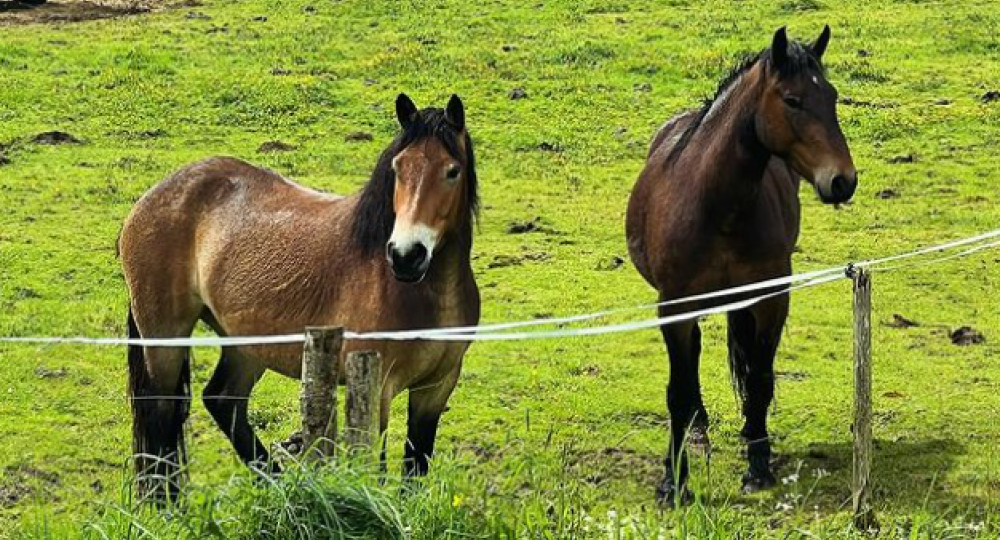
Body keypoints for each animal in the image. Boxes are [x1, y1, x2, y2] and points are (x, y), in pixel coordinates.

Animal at [121, 94, 480, 502]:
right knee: (160, 413)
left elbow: (414, 471)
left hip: (246, 344)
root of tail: (153, 197)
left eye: (452, 171)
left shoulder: (436, 388)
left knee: (223, 402)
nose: (406, 255)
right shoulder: (378, 389)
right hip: (164, 340)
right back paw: (166, 505)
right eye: (398, 168)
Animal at [628, 27, 856, 504]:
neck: (717, 206)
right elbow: (677, 390)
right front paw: (673, 482)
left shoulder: (770, 299)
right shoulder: (674, 307)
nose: (843, 180)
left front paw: (758, 466)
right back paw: (697, 428)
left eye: (831, 96)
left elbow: (760, 378)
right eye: (792, 100)